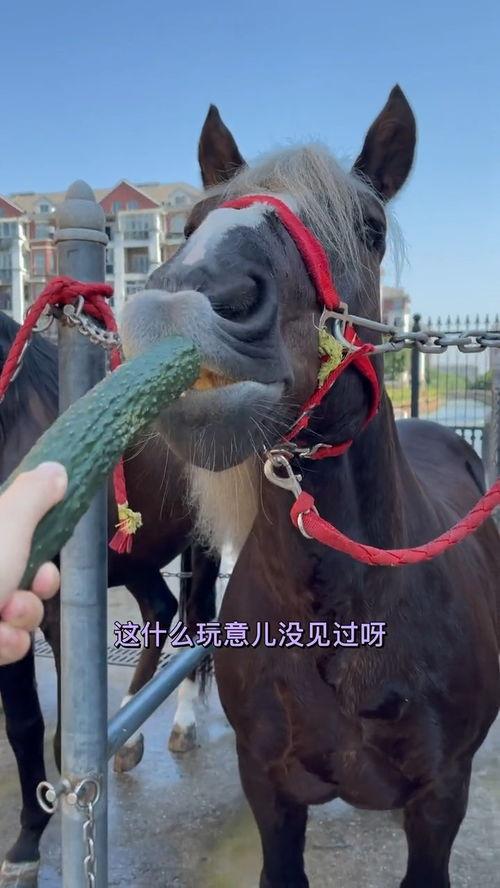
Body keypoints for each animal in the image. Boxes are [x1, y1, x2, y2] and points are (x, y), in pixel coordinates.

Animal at [0, 312, 219, 887]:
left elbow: (40, 730)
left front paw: (32, 844)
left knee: (194, 620)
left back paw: (182, 724)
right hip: (139, 552)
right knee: (162, 611)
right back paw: (131, 736)